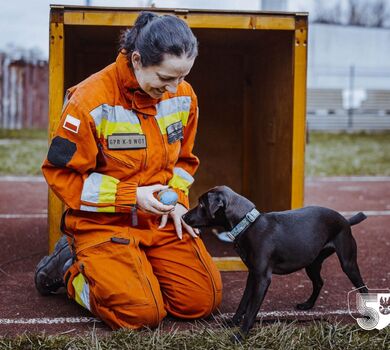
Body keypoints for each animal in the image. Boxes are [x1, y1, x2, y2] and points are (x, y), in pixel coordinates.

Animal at [183, 186, 368, 336]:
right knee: (319, 282)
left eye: (202, 205)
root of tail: (345, 221)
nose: (183, 216)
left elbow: (251, 310)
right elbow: (243, 303)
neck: (248, 225)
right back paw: (308, 304)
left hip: (348, 263)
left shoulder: (263, 279)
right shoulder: (252, 275)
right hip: (312, 263)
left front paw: (240, 335)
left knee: (363, 288)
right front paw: (233, 323)